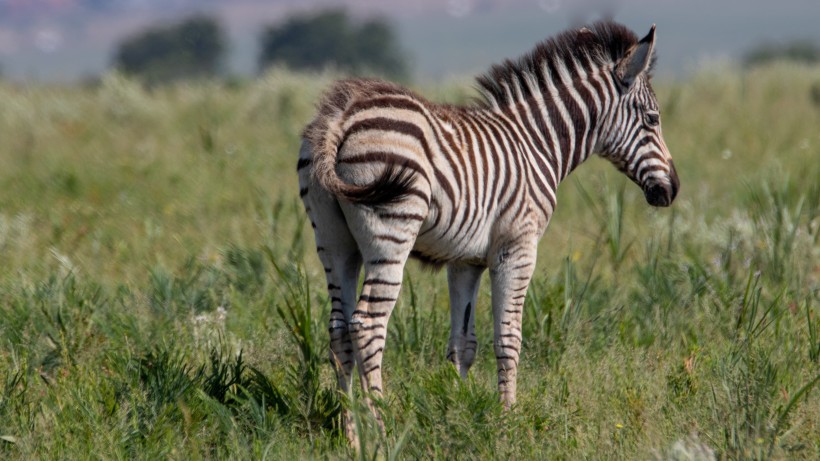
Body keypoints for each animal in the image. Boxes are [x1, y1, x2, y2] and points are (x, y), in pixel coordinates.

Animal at [294, 20, 680, 438]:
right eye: (653, 119)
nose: (672, 190)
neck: (537, 143)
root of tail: (340, 115)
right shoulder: (517, 247)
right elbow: (508, 338)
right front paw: (508, 421)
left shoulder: (465, 260)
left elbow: (463, 343)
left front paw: (458, 413)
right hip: (390, 234)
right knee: (367, 324)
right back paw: (381, 430)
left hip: (333, 241)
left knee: (338, 328)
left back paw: (350, 434)